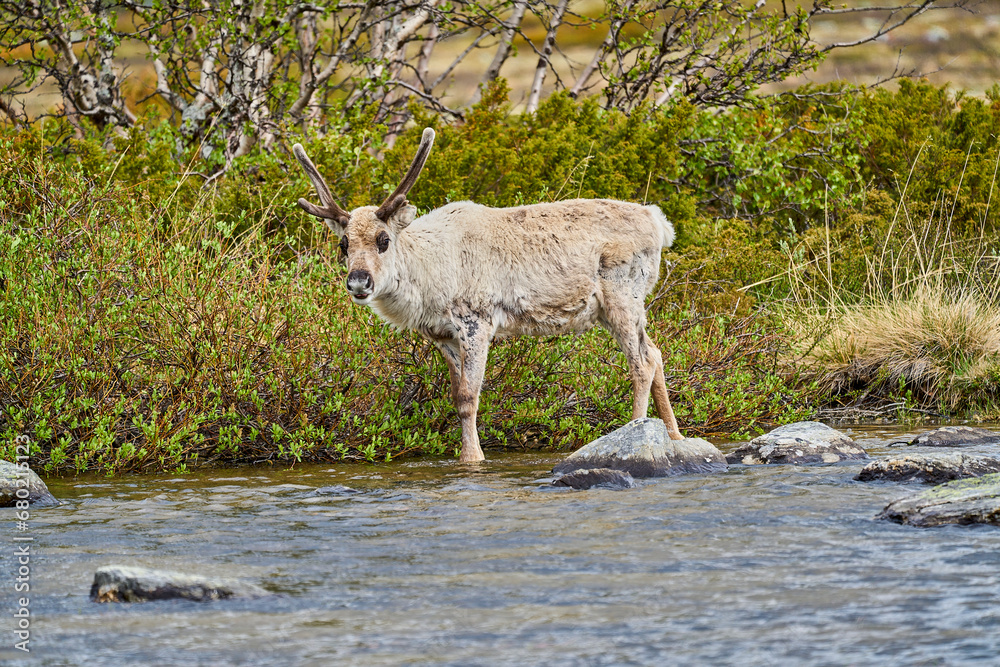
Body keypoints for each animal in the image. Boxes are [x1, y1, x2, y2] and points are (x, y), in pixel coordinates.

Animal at [293, 128, 684, 463]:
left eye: (383, 239)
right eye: (343, 244)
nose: (359, 281)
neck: (428, 278)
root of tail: (660, 223)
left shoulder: (476, 321)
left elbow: (469, 397)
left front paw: (472, 458)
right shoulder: (443, 335)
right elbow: (456, 396)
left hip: (622, 295)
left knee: (641, 363)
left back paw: (634, 433)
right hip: (616, 307)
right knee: (656, 352)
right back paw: (675, 436)